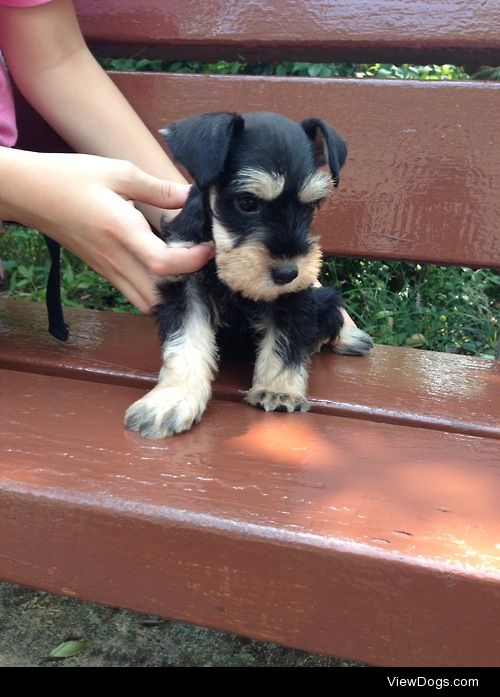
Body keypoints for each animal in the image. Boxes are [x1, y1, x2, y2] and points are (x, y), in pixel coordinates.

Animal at [125, 109, 374, 438]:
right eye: (247, 203)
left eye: (310, 206)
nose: (287, 272)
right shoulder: (185, 287)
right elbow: (184, 345)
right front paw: (171, 400)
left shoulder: (293, 297)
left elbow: (285, 343)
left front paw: (279, 390)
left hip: (323, 295)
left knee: (329, 317)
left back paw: (347, 338)